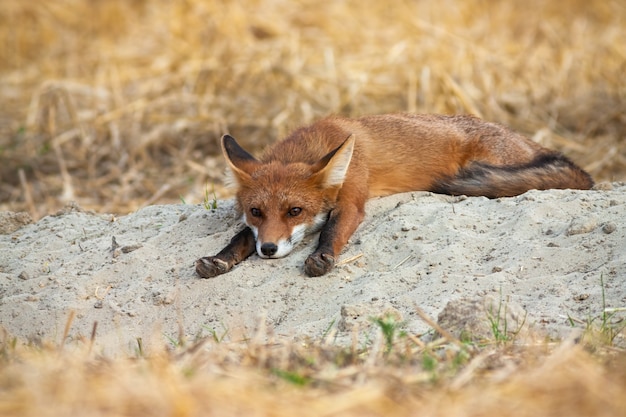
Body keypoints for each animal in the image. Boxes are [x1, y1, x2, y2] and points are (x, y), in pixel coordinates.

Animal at [194, 114, 588, 276]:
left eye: (295, 211)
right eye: (256, 211)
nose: (269, 250)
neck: (311, 145)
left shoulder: (352, 199)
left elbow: (331, 231)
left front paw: (322, 258)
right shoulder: (255, 229)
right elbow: (240, 239)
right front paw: (221, 260)